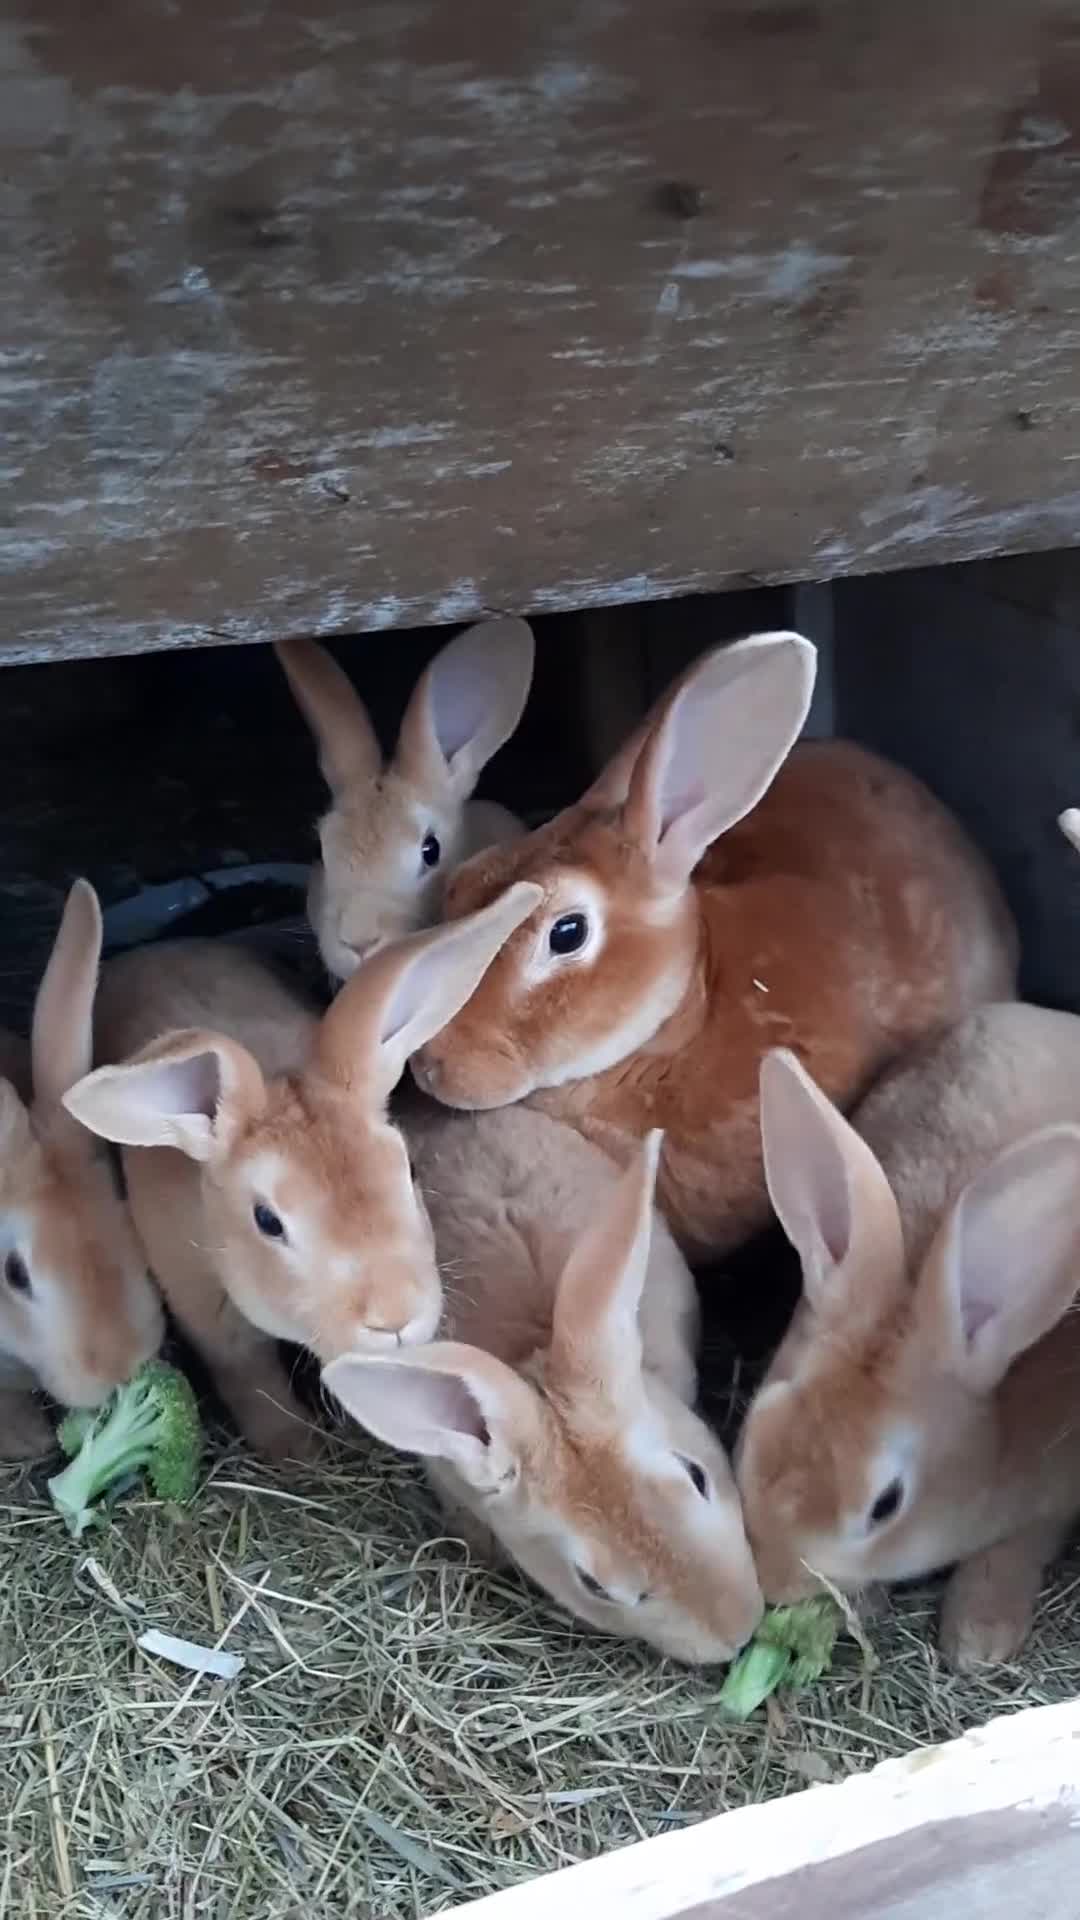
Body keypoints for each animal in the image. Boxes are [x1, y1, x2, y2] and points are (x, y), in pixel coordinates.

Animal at [62, 885, 540, 1460]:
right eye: (268, 1221)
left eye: (410, 1170)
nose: (396, 1318)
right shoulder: (211, 1318)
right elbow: (251, 1377)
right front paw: (294, 1447)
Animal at [736, 1019, 1080, 1670]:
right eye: (755, 1427)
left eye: (885, 1505)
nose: (772, 1583)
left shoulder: (1052, 1493)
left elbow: (1019, 1545)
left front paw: (978, 1638)